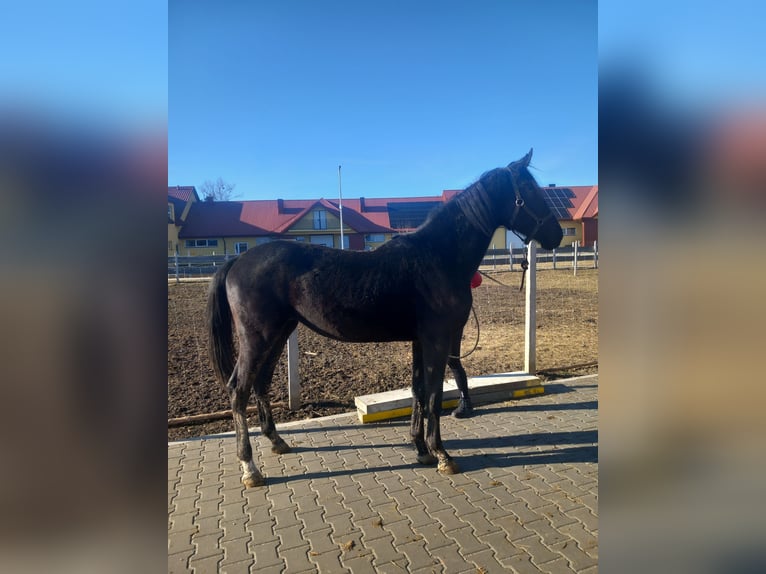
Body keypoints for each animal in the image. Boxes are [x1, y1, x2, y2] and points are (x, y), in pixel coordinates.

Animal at [210, 151, 564, 488]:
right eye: (529, 190)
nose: (557, 234)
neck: (437, 257)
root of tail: (238, 260)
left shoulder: (421, 341)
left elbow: (418, 391)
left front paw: (421, 449)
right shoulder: (438, 340)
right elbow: (434, 396)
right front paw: (442, 454)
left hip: (279, 334)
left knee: (260, 384)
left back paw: (277, 442)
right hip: (258, 338)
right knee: (238, 390)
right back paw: (250, 468)